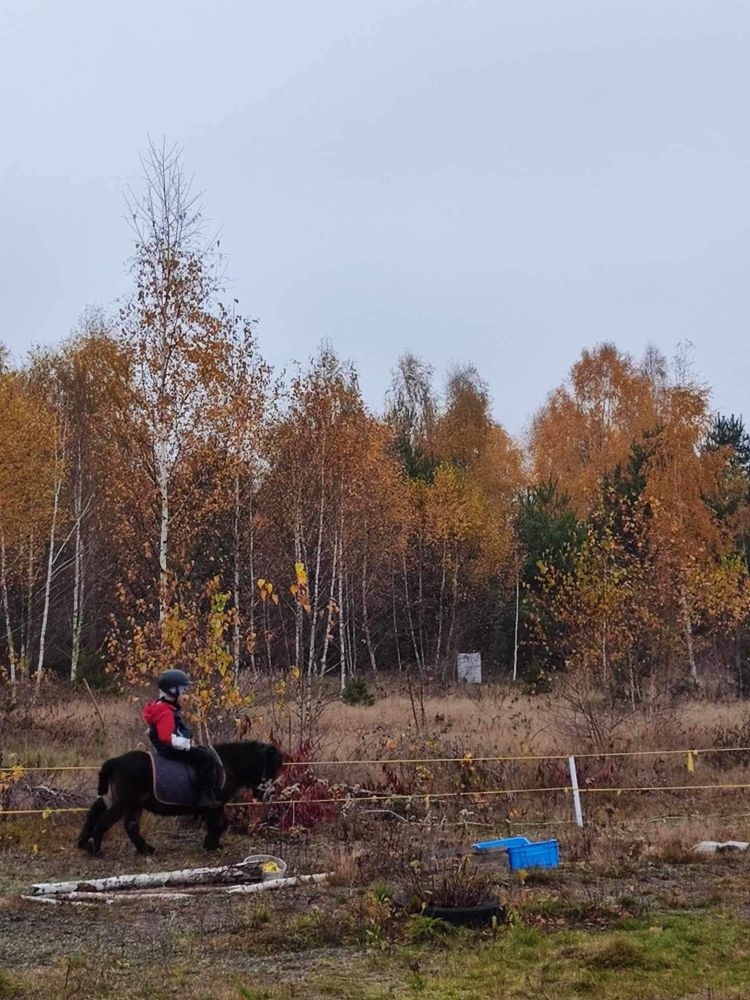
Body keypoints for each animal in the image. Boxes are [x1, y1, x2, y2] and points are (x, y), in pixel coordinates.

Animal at [76, 740, 284, 856]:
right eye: (271, 767)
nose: (268, 794)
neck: (227, 764)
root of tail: (115, 762)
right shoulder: (217, 803)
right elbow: (220, 823)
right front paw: (212, 844)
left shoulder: (216, 805)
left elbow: (219, 823)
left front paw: (211, 843)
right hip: (125, 801)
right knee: (105, 820)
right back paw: (95, 849)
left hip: (130, 802)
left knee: (122, 822)